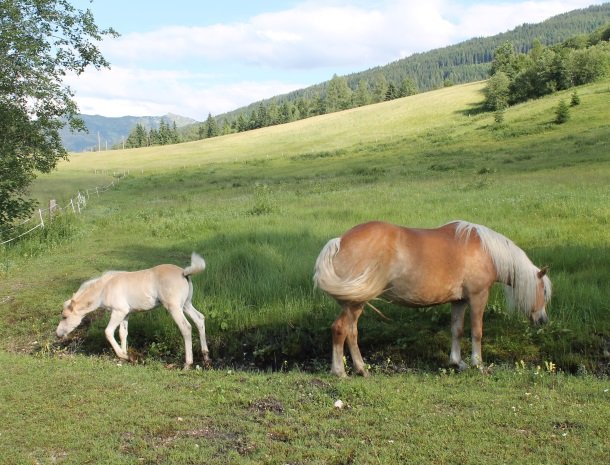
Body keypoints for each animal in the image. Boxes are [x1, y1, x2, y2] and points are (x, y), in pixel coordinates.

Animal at [57, 252, 209, 368]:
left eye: (64, 317)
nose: (58, 334)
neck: (105, 288)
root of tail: (184, 272)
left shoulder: (118, 312)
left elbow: (108, 332)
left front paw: (123, 355)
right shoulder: (126, 314)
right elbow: (123, 333)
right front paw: (125, 356)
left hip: (174, 308)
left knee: (186, 327)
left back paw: (188, 364)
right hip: (186, 305)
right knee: (199, 319)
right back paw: (206, 356)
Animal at [314, 219, 552, 376]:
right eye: (544, 292)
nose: (543, 320)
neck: (485, 251)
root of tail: (340, 241)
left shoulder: (459, 301)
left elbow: (457, 330)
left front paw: (457, 362)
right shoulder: (478, 297)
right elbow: (476, 332)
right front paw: (478, 364)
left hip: (355, 303)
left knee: (351, 332)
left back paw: (361, 369)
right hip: (355, 302)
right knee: (340, 329)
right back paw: (340, 372)